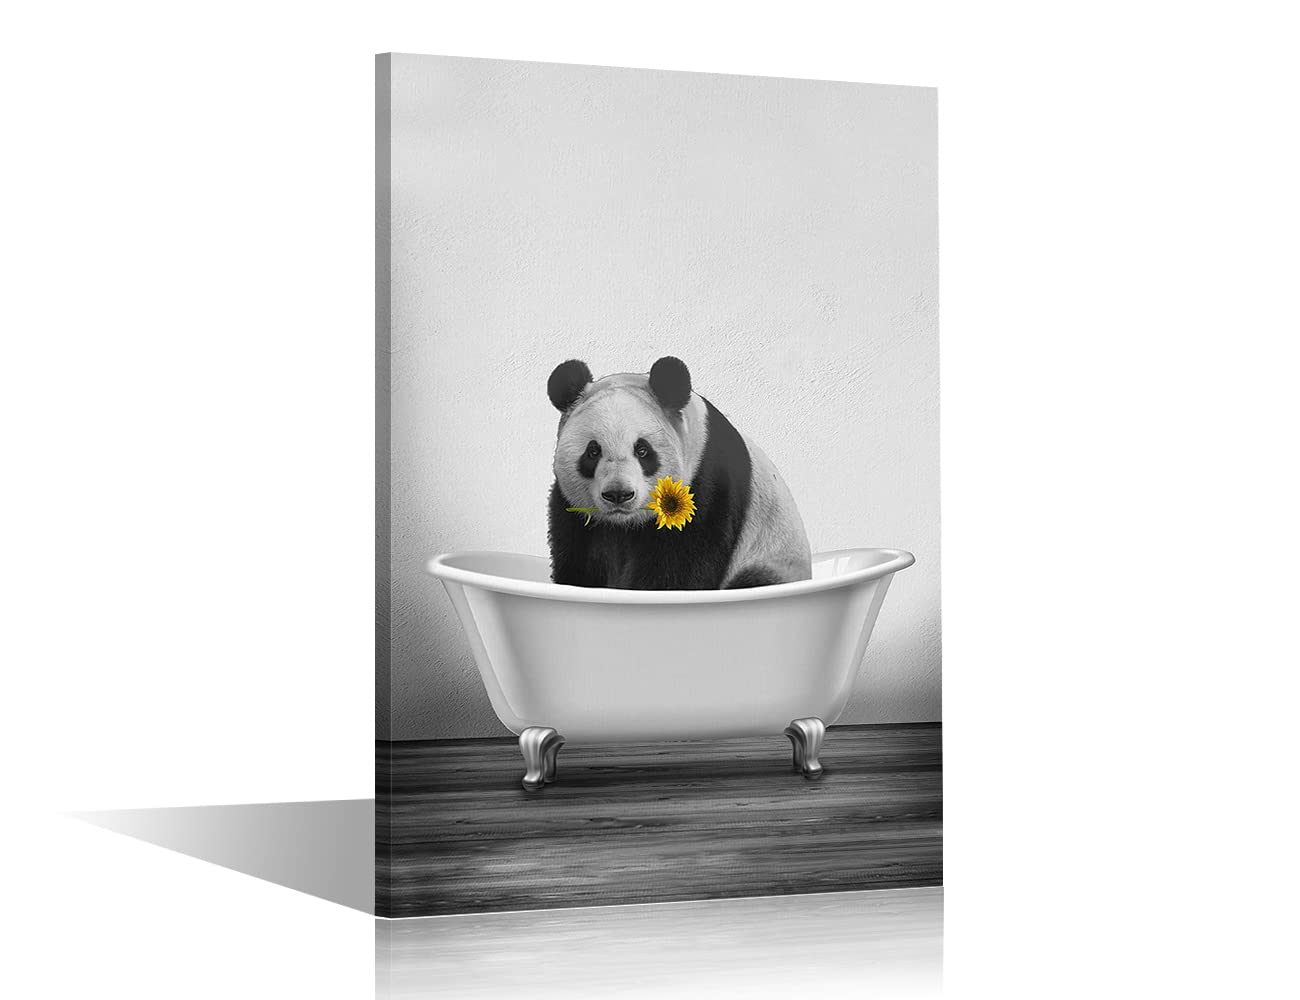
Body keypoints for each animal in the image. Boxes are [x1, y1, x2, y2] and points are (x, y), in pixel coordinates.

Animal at [546, 356, 812, 590]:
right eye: (593, 451)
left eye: (642, 450)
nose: (618, 494)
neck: (624, 524)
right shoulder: (575, 513)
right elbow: (580, 562)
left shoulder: (704, 487)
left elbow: (681, 567)